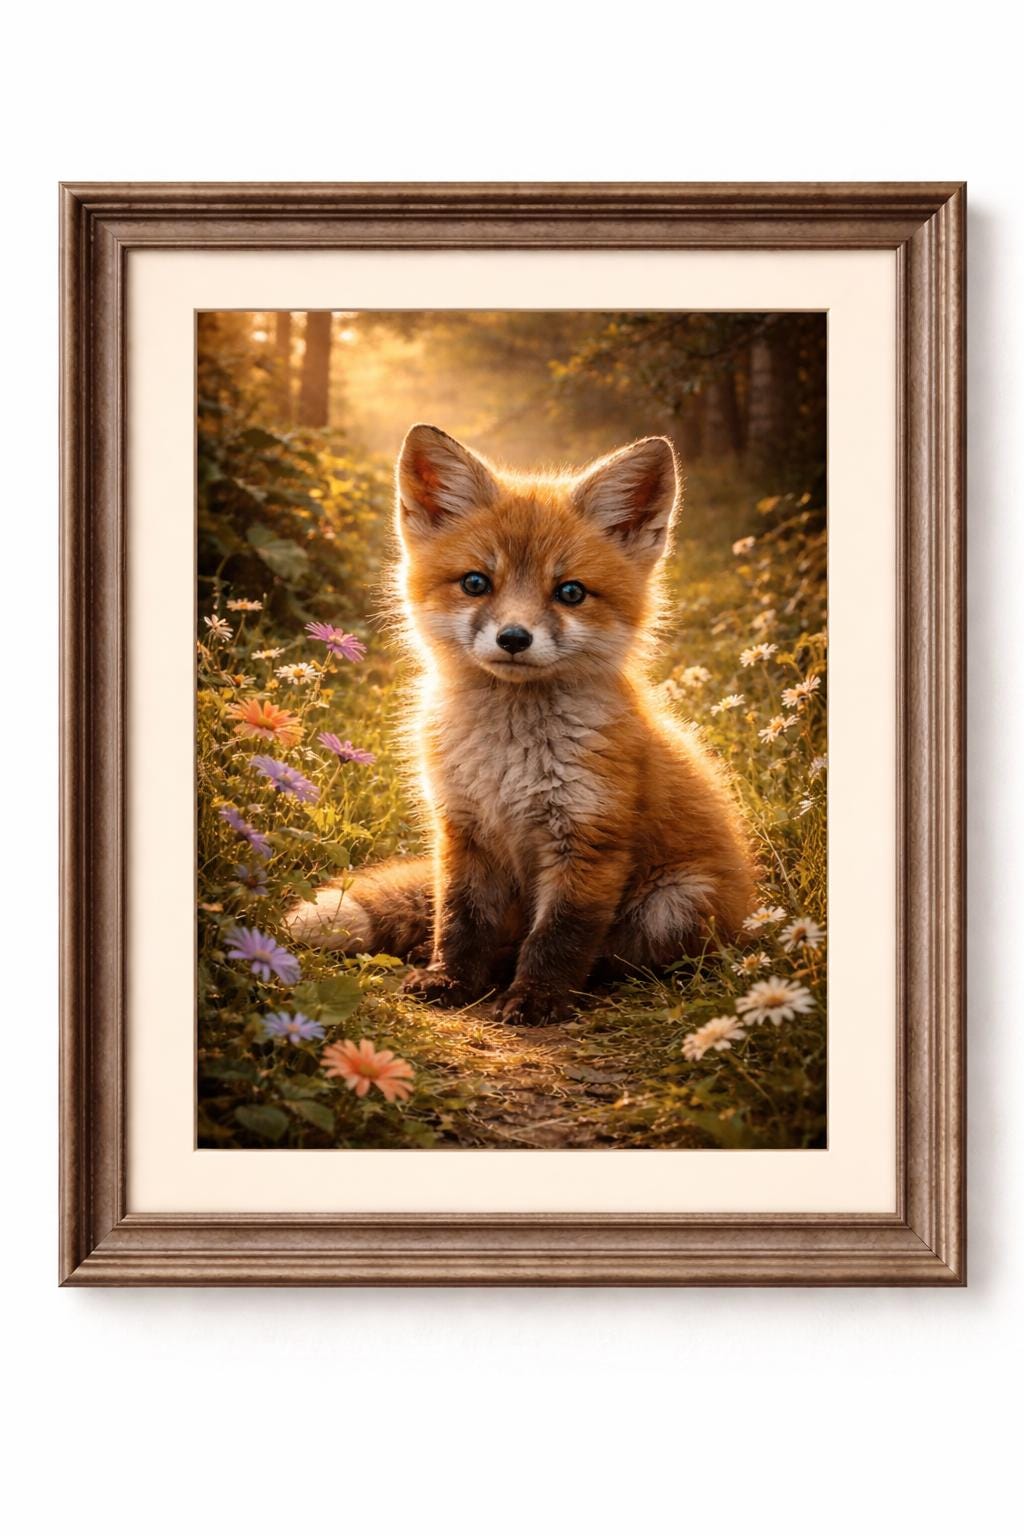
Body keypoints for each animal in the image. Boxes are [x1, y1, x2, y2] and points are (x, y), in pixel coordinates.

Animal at [285, 423, 756, 1027]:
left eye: (571, 592)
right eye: (476, 583)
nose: (513, 638)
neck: (508, 758)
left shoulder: (588, 839)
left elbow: (559, 936)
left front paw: (537, 998)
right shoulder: (462, 830)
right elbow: (459, 921)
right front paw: (451, 980)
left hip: (676, 903)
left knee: (617, 954)